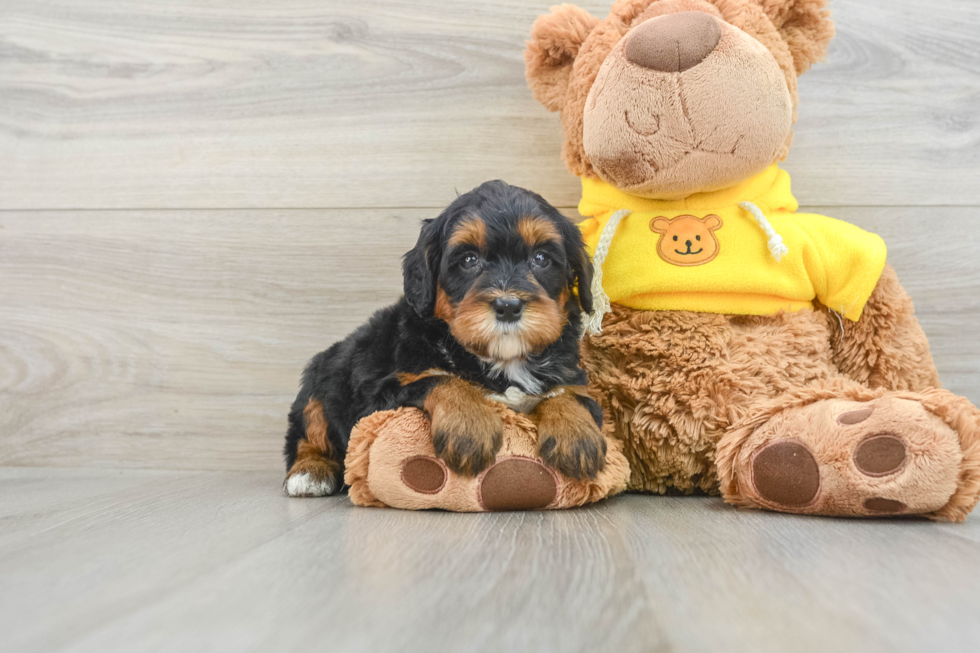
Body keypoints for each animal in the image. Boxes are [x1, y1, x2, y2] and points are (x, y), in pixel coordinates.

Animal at [284, 178, 604, 494]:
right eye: (469, 260)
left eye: (540, 258)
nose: (508, 306)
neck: (504, 360)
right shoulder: (379, 395)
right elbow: (440, 379)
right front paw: (469, 427)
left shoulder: (571, 373)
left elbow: (570, 393)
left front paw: (577, 434)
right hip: (320, 379)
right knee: (307, 431)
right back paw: (309, 472)